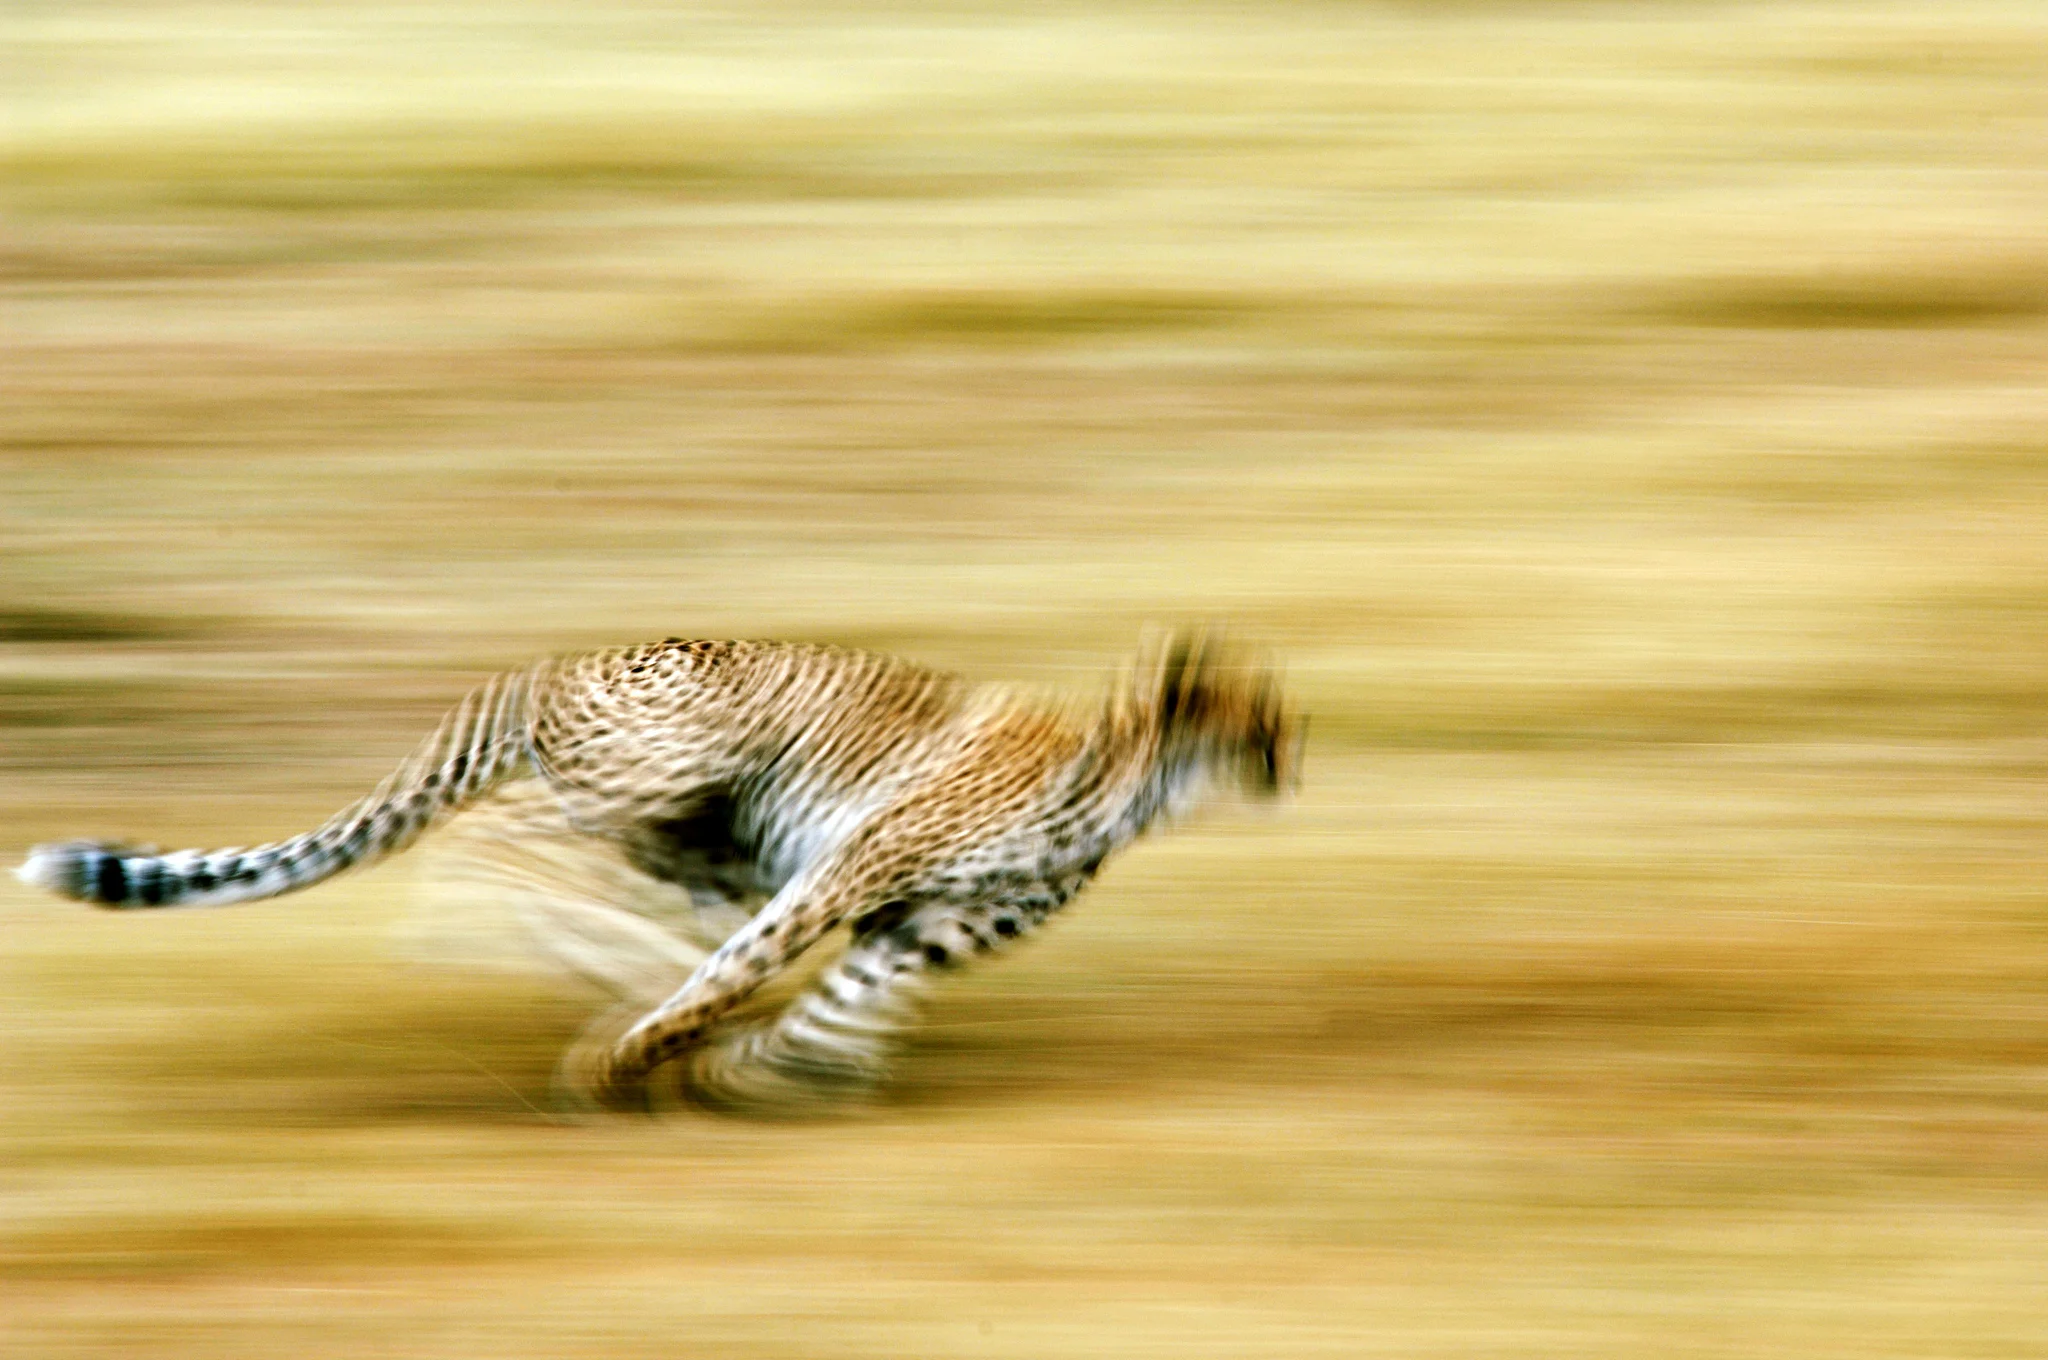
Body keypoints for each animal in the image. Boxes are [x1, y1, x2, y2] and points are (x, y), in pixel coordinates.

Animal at [18, 628, 1303, 1112]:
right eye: (1262, 723)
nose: (1295, 761)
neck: (1129, 775)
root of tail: (546, 661)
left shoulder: (910, 927)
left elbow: (838, 999)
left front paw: (763, 1068)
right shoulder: (846, 879)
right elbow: (753, 973)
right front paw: (642, 1054)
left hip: (699, 826)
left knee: (599, 875)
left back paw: (622, 972)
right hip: (680, 754)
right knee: (514, 835)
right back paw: (599, 977)